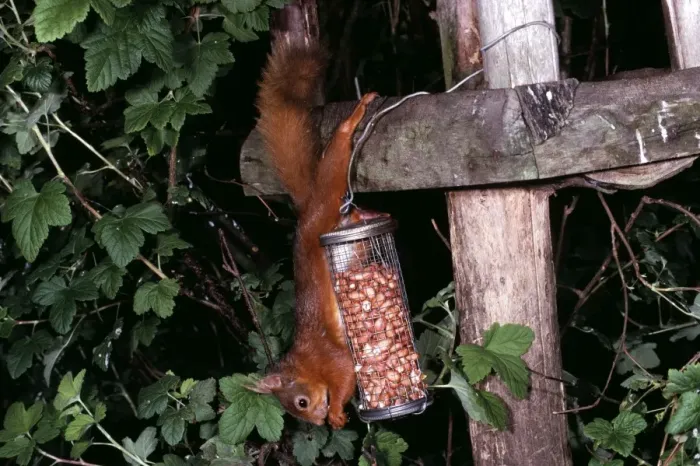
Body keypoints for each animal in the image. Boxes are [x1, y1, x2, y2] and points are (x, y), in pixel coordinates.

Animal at [247, 39, 386, 430]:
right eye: (297, 411)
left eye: (302, 402)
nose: (319, 421)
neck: (306, 362)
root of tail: (308, 207)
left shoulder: (330, 355)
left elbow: (345, 373)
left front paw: (338, 411)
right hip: (347, 233)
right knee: (356, 214)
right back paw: (374, 214)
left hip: (329, 190)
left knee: (336, 155)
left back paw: (353, 118)